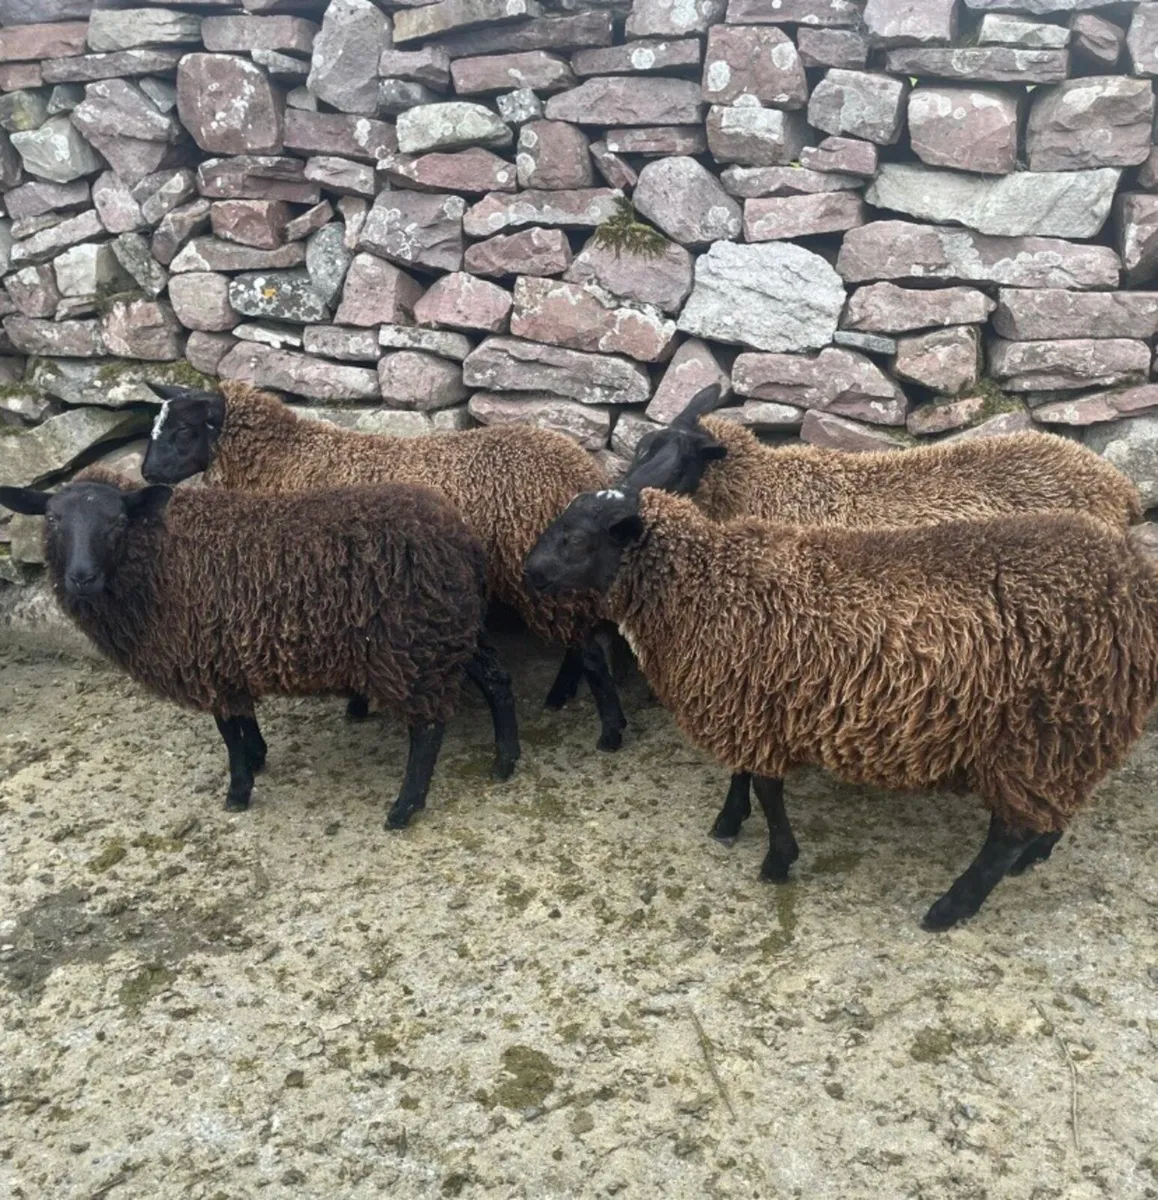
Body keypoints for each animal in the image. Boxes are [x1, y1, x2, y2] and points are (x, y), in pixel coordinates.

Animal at [0, 469, 520, 829]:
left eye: (118, 521)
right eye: (52, 519)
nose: (81, 577)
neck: (163, 558)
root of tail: (463, 537)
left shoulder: (206, 658)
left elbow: (227, 729)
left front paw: (238, 789)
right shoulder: (228, 657)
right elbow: (243, 719)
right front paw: (258, 756)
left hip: (412, 644)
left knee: (428, 727)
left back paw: (404, 807)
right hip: (450, 629)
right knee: (497, 680)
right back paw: (505, 762)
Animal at [140, 381, 626, 752]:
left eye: (182, 430)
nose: (146, 474)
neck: (286, 460)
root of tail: (584, 473)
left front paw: (357, 704)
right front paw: (358, 703)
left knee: (591, 651)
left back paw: (610, 732)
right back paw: (561, 696)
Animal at [523, 486, 1158, 929]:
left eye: (575, 538)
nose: (528, 572)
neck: (706, 588)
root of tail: (1133, 578)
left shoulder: (755, 702)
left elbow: (767, 787)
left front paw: (777, 860)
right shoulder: (747, 703)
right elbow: (743, 773)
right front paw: (729, 822)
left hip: (1041, 727)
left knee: (1008, 832)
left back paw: (950, 908)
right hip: (1076, 726)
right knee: (1053, 806)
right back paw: (1037, 854)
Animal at [625, 386, 1145, 849]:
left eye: (678, 462)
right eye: (639, 451)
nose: (620, 498)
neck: (758, 488)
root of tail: (1119, 489)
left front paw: (731, 818)